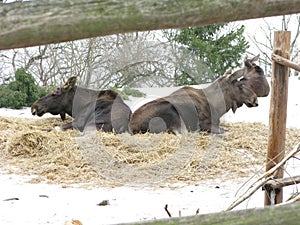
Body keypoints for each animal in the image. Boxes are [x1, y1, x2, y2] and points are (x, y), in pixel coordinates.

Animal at [127, 55, 268, 134]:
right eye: (240, 85)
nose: (255, 99)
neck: (219, 107)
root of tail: (131, 126)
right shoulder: (205, 124)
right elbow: (224, 131)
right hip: (171, 112)